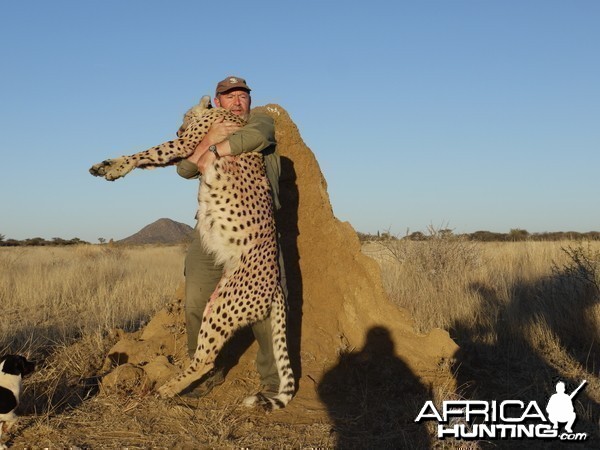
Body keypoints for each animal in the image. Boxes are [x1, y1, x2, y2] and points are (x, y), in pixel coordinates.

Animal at [89, 96, 296, 410]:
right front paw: (106, 166)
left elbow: (148, 151)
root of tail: (274, 286)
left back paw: (167, 389)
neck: (218, 113)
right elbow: (156, 159)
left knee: (206, 358)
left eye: (185, 117)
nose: (177, 128)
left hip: (223, 308)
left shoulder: (188, 143)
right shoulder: (187, 151)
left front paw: (115, 167)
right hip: (217, 299)